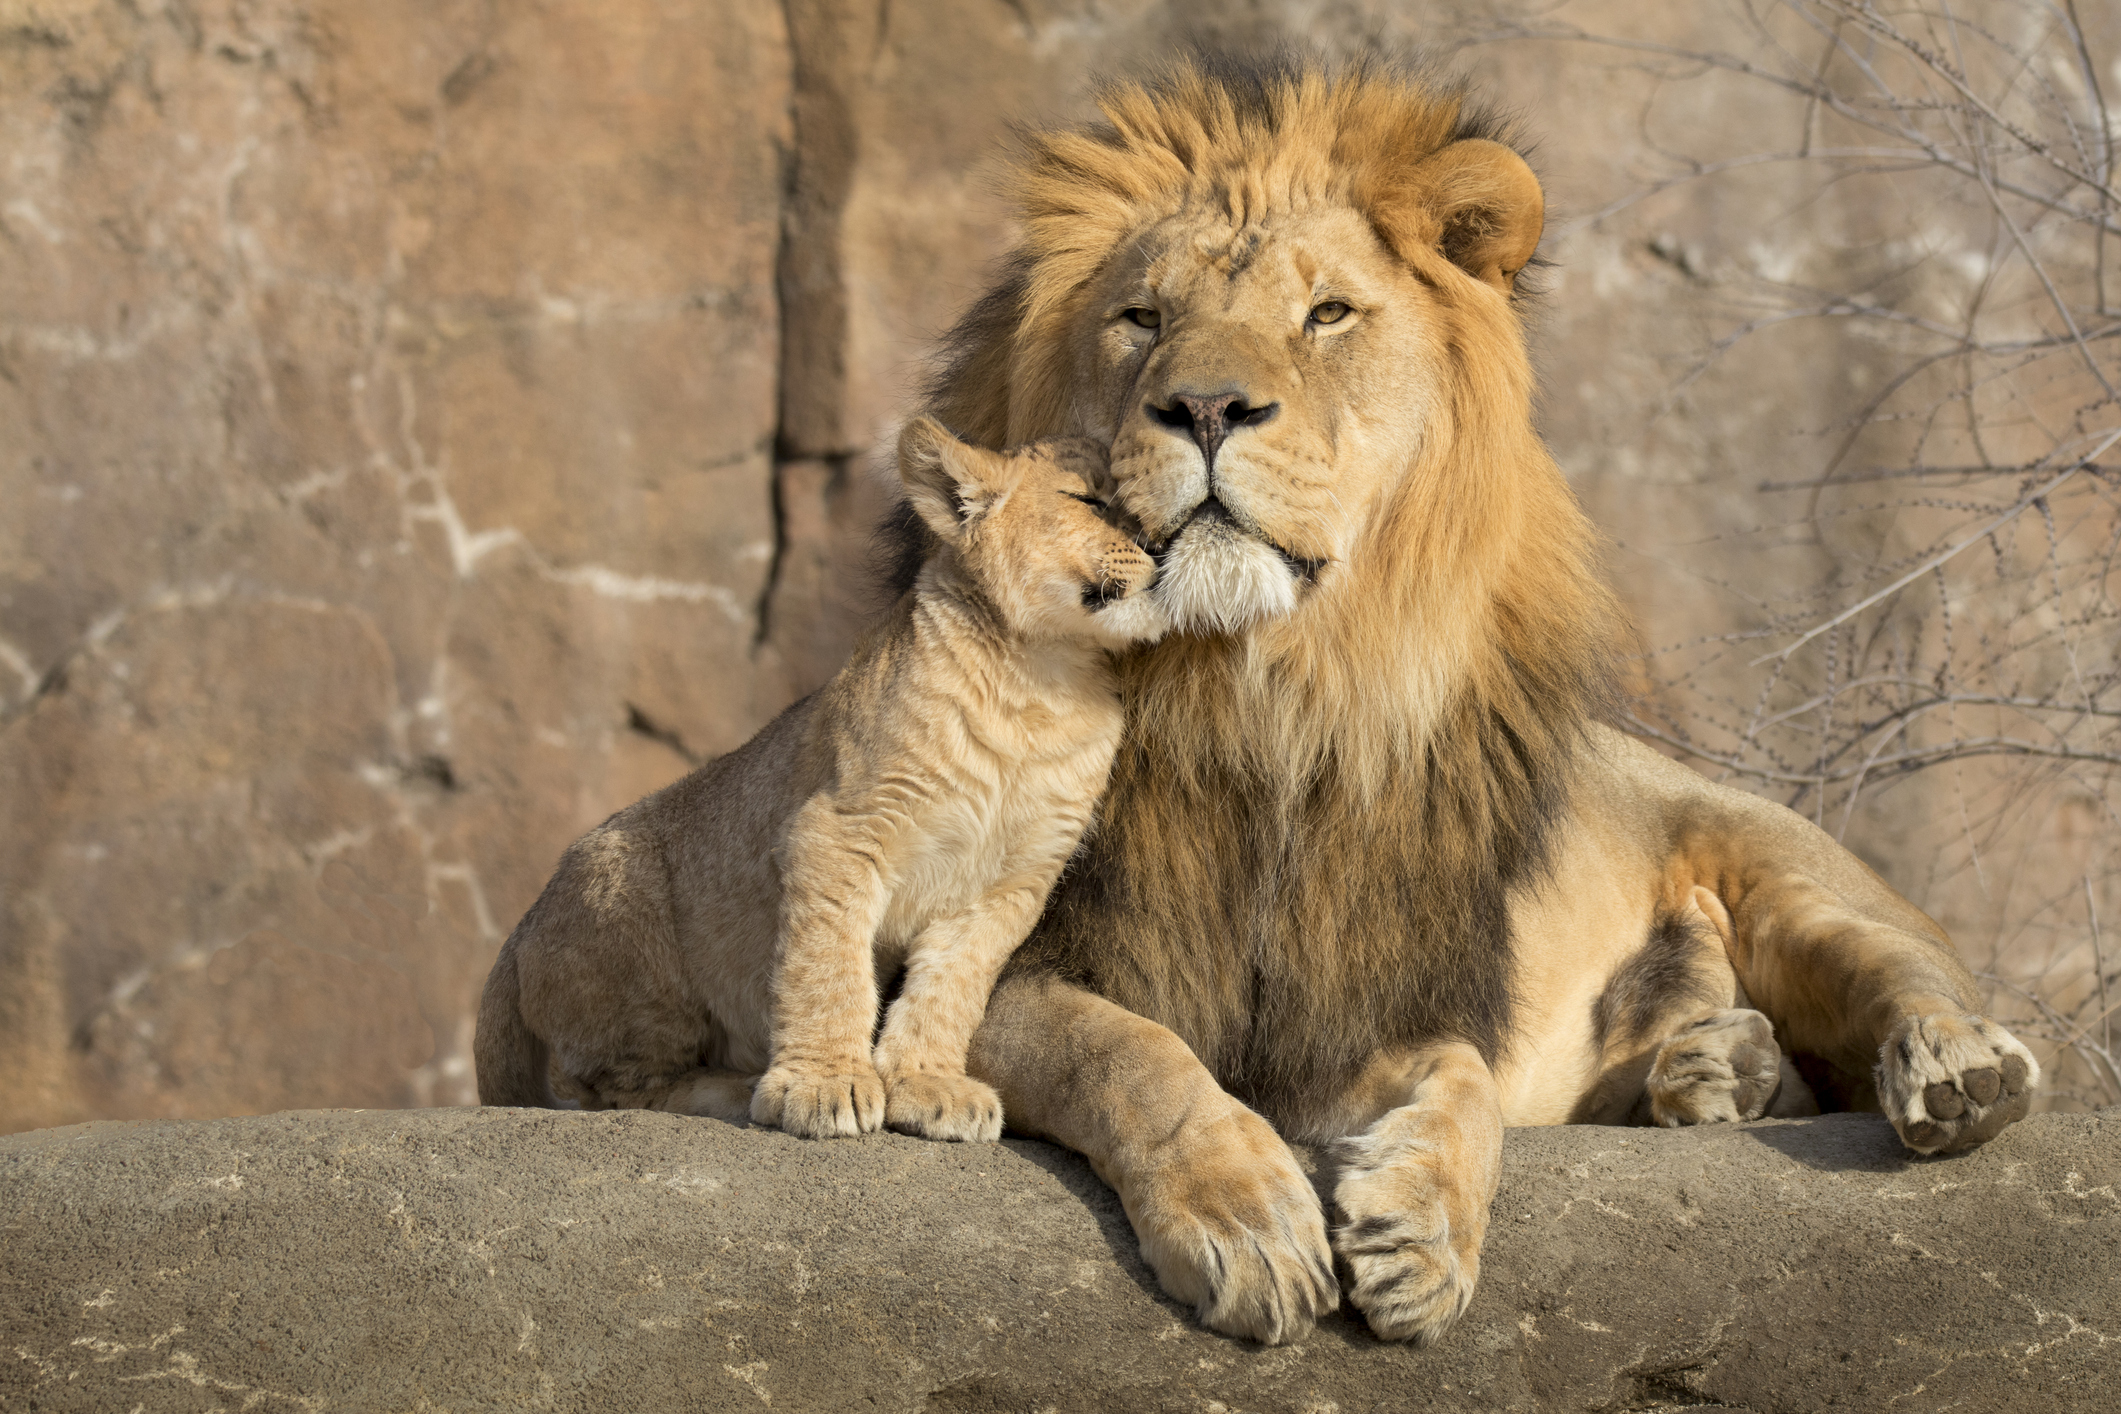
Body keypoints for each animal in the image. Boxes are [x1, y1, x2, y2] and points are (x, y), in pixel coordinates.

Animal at [924, 58, 2036, 1348]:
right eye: (1142, 319)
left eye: (1327, 316)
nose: (1204, 407)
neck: (1258, 695)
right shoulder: (983, 967)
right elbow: (1129, 1051)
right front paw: (1247, 1218)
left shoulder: (1369, 999)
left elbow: (1458, 1073)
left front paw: (1420, 1232)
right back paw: (1712, 1070)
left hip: (1790, 876)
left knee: (1907, 978)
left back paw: (1952, 1070)